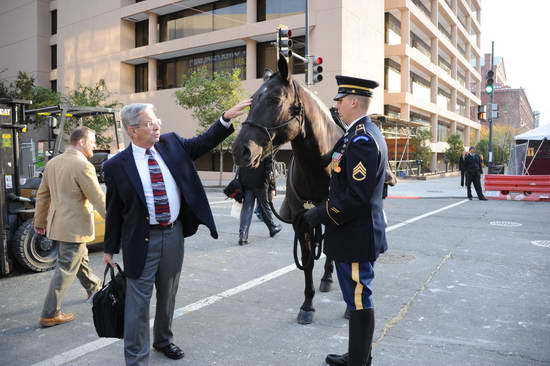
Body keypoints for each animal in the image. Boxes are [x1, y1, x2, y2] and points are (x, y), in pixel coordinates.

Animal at [233, 56, 344, 324]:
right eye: (251, 100)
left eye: (274, 99)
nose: (240, 150)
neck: (319, 167)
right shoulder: (301, 221)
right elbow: (307, 262)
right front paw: (307, 305)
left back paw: (328, 277)